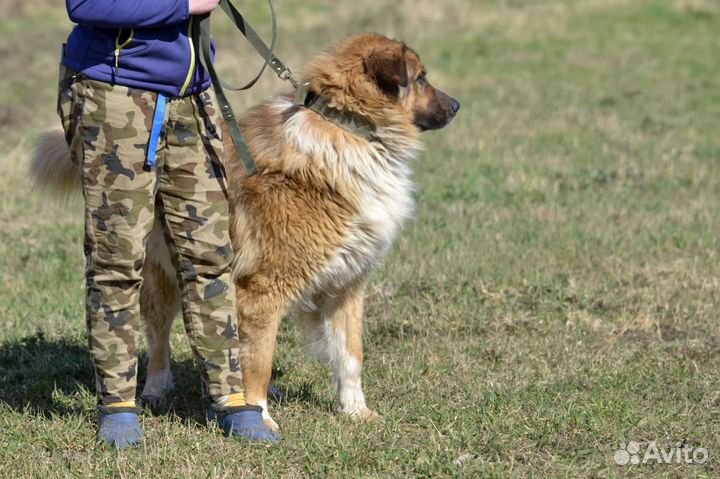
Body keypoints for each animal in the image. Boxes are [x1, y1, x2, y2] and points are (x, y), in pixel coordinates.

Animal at [31, 32, 458, 432]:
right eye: (421, 78)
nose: (456, 106)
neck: (348, 129)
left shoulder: (347, 283)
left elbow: (351, 355)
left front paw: (356, 411)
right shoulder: (263, 289)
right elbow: (259, 362)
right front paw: (259, 417)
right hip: (158, 273)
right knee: (159, 338)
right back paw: (155, 388)